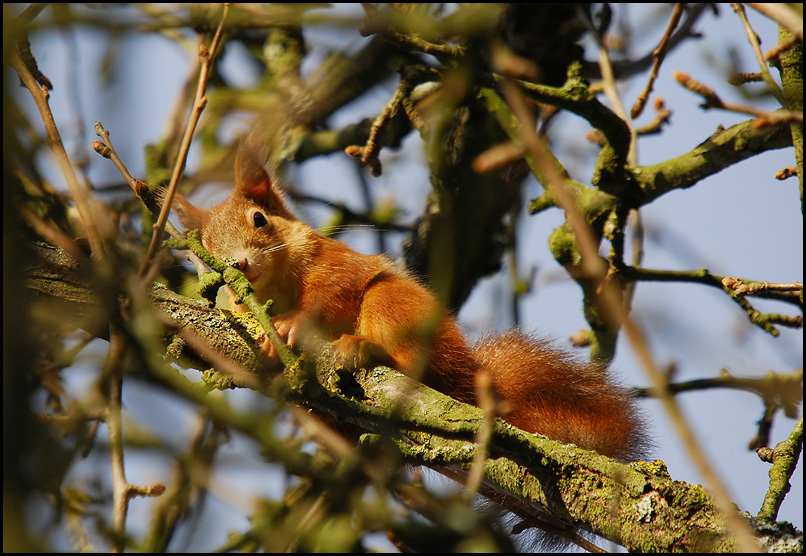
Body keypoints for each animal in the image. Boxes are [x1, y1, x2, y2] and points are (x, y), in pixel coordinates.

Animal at [177, 141, 652, 462]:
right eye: (205, 248)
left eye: (260, 219)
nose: (238, 263)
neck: (275, 287)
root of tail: (473, 379)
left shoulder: (338, 265)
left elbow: (331, 294)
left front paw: (290, 322)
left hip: (392, 304)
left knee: (414, 365)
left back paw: (366, 348)